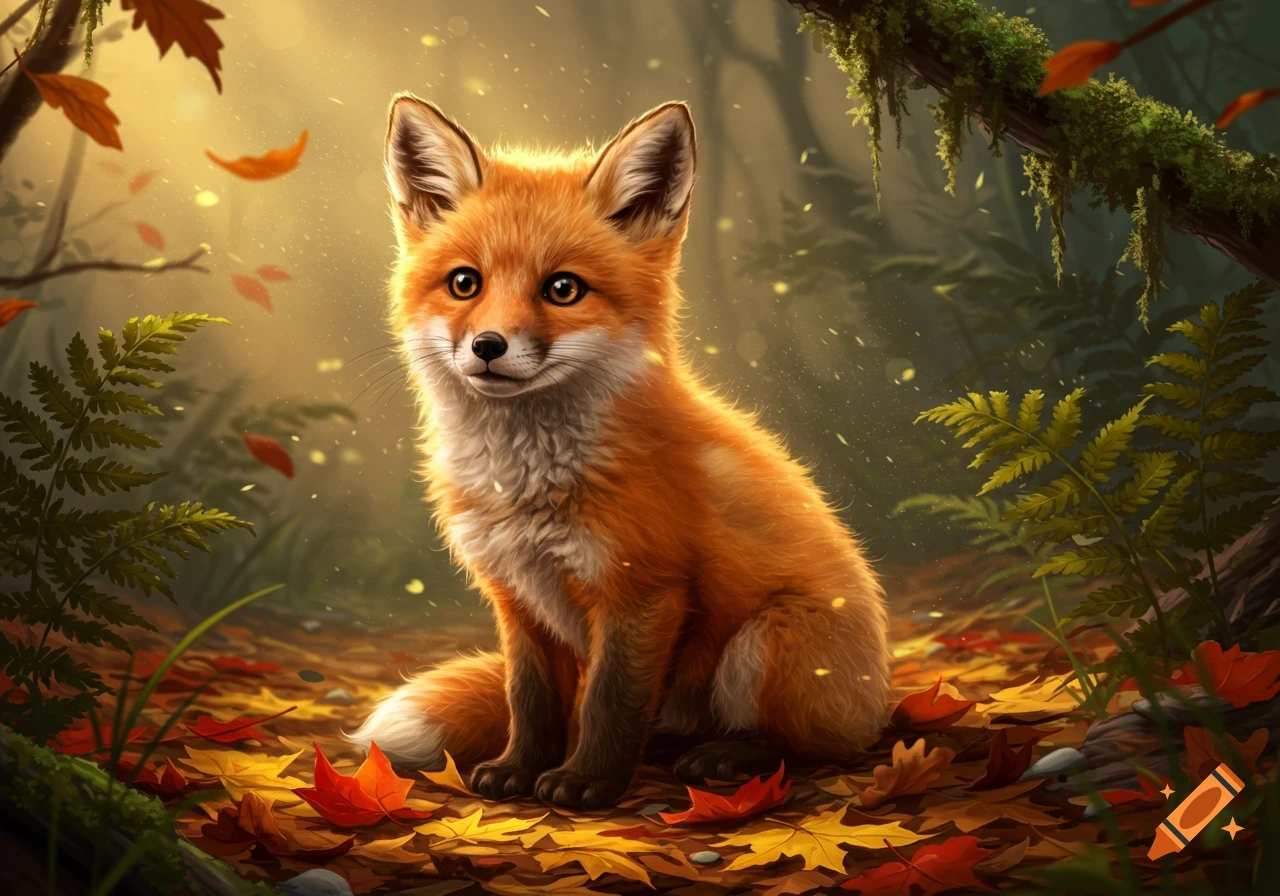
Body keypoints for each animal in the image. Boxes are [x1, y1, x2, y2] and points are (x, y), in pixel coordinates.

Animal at [346, 94, 891, 810]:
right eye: (465, 283)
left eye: (563, 289)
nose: (488, 346)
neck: (528, 488)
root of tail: (879, 702)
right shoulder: (517, 597)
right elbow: (530, 700)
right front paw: (519, 769)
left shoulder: (644, 591)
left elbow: (611, 701)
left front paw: (586, 782)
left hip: (768, 640)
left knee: (808, 746)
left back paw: (728, 757)